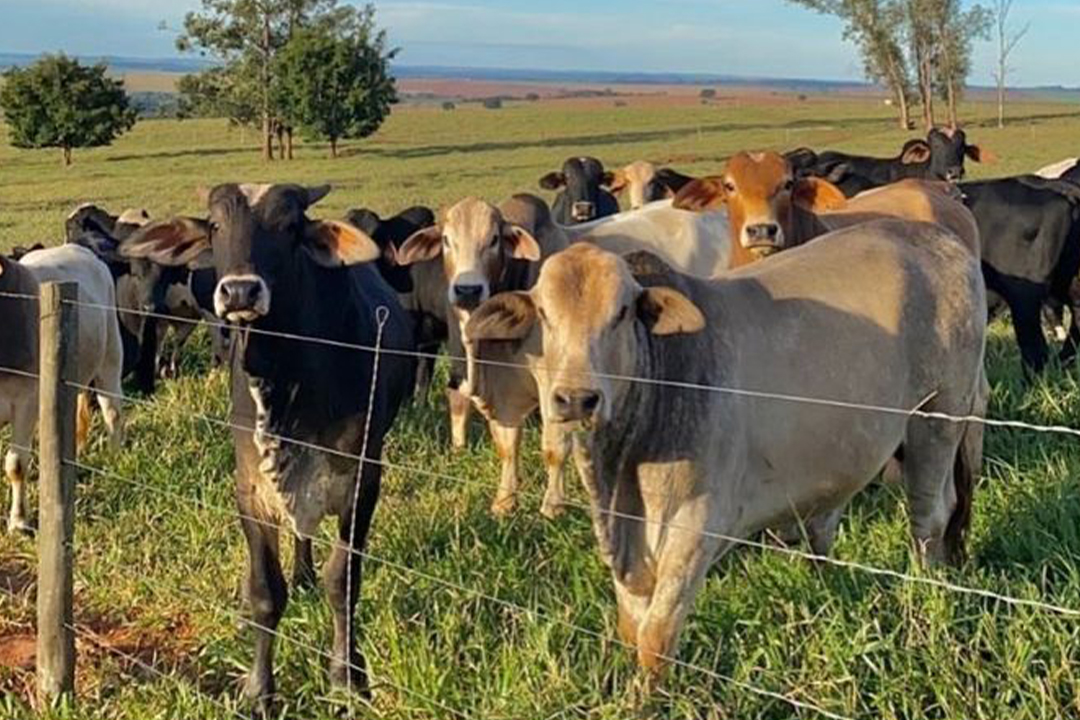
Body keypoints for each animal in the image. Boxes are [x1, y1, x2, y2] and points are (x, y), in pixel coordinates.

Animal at [1, 245, 125, 534]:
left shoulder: (27, 399)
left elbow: (16, 464)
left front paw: (19, 521)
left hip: (111, 357)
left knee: (112, 411)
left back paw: (115, 457)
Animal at [119, 183, 416, 712]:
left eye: (290, 226)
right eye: (217, 225)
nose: (240, 292)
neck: (288, 381)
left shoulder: (362, 477)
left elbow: (343, 581)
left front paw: (346, 677)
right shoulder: (251, 487)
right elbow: (265, 592)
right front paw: (260, 689)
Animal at [465, 227, 987, 678]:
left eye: (622, 313)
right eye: (544, 314)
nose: (576, 399)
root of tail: (941, 239)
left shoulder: (697, 525)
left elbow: (655, 639)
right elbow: (631, 627)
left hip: (940, 416)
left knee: (930, 515)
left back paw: (928, 590)